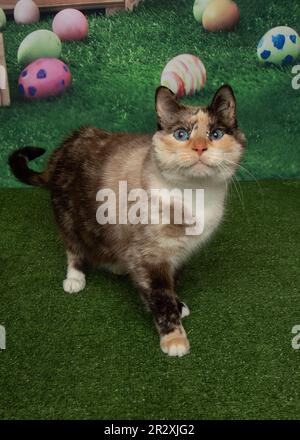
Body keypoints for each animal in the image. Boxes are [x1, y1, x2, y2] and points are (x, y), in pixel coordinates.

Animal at [9, 85, 246, 358]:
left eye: (216, 134)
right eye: (181, 134)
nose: (199, 148)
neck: (196, 196)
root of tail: (66, 143)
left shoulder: (179, 254)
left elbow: (172, 284)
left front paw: (179, 305)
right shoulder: (150, 256)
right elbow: (161, 298)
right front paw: (174, 339)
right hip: (69, 216)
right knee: (73, 248)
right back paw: (75, 279)